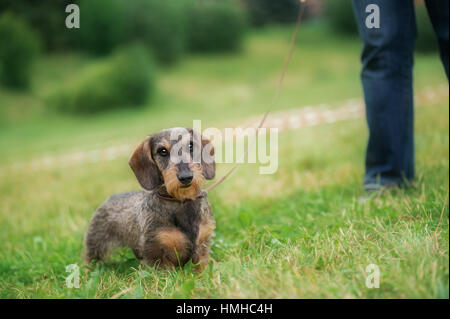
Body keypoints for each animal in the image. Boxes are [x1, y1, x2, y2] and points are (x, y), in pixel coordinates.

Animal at [86, 127, 218, 270]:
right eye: (162, 151)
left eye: (190, 145)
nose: (186, 177)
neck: (181, 202)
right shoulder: (156, 253)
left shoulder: (202, 246)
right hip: (96, 247)